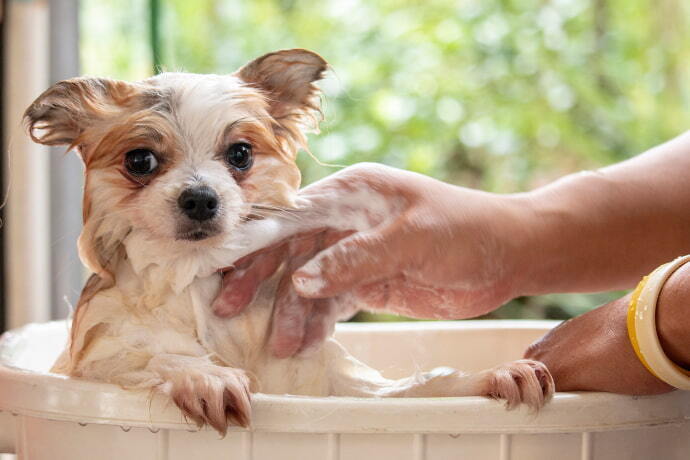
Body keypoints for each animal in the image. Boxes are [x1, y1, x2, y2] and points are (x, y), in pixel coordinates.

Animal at [22, 49, 552, 434]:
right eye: (140, 161)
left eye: (240, 154)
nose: (200, 198)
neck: (193, 280)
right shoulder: (93, 364)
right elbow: (150, 357)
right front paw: (205, 375)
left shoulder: (323, 384)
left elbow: (410, 391)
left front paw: (488, 378)